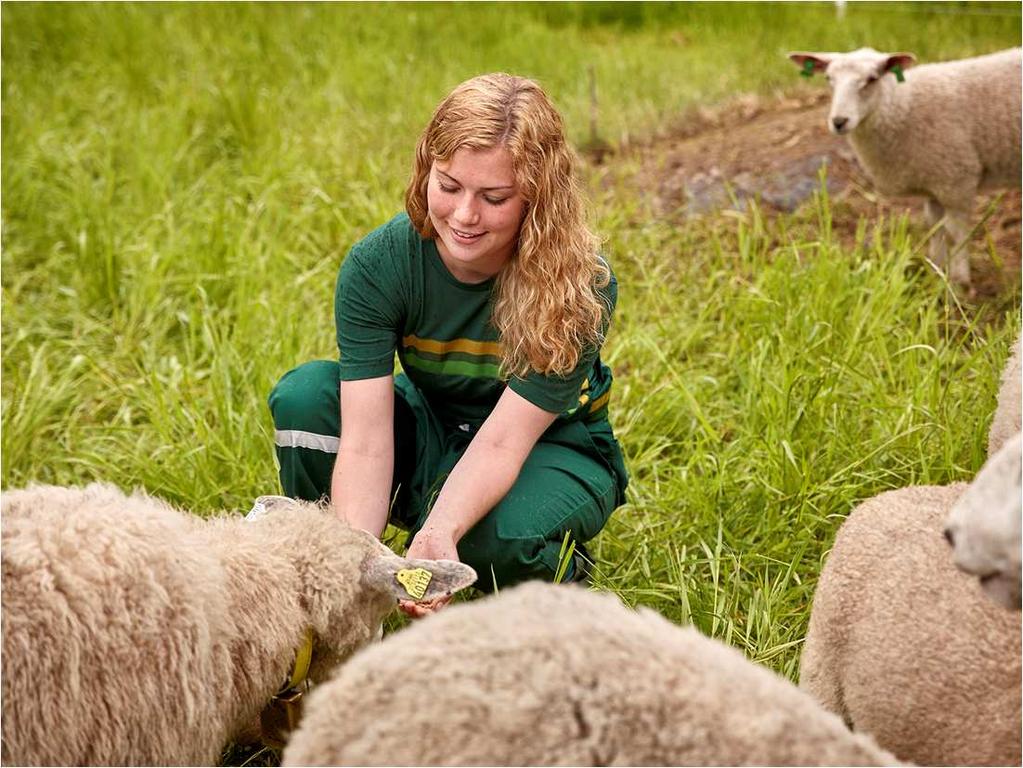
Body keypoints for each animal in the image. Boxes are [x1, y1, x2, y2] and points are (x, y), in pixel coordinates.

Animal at [789, 48, 1023, 288]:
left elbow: (955, 235)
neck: (903, 105)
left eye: (872, 79)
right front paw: (935, 275)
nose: (839, 121)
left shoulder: (957, 180)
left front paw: (959, 283)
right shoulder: (935, 184)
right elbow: (935, 230)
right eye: (828, 78)